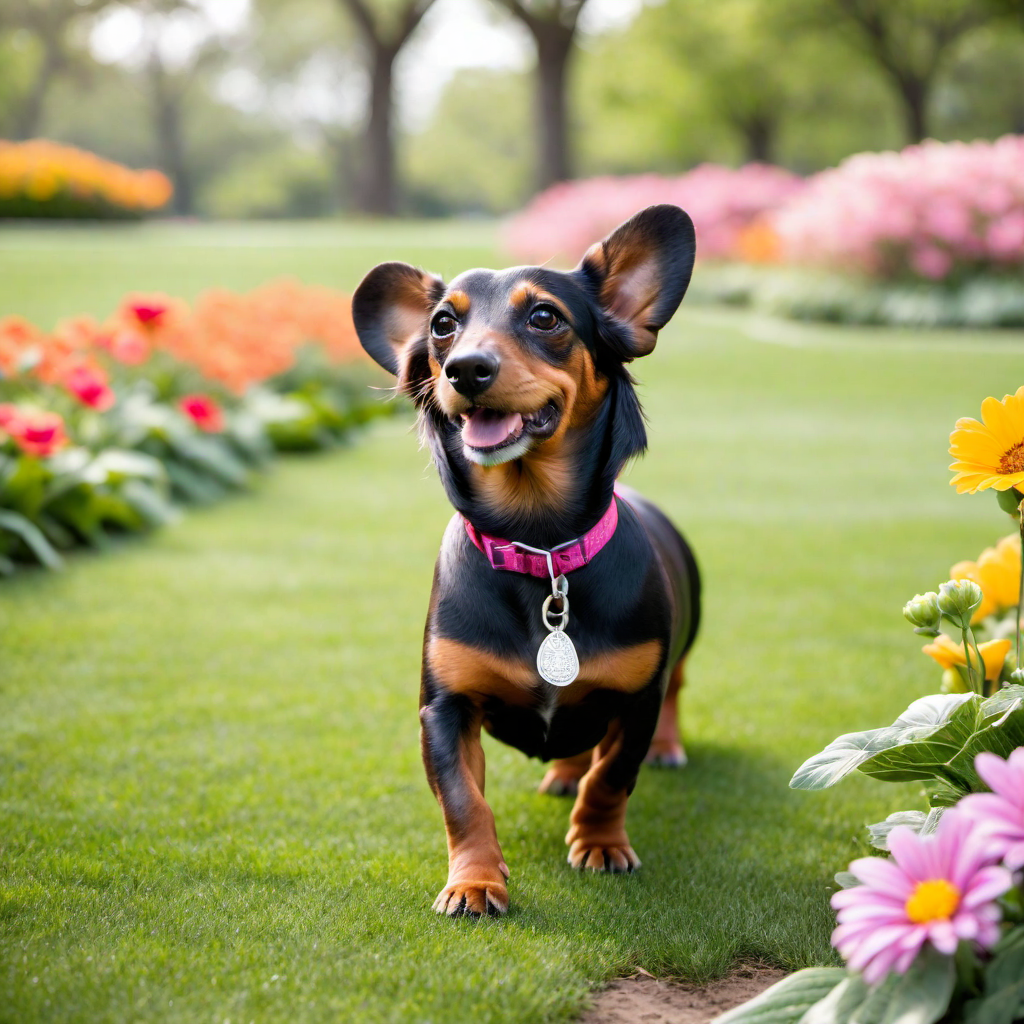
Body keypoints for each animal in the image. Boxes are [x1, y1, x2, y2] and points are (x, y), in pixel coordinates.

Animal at [350, 203, 696, 917]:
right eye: (442, 325)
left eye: (544, 317)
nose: (465, 370)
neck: (539, 545)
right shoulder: (444, 708)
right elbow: (463, 802)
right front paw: (474, 882)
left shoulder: (636, 701)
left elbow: (612, 777)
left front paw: (600, 844)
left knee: (675, 691)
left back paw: (666, 750)